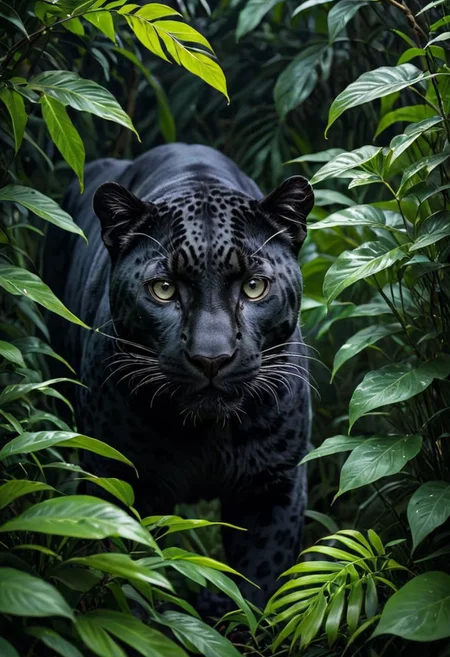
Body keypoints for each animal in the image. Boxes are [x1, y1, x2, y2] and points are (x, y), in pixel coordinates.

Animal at [45, 143, 314, 610]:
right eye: (164, 289)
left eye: (254, 287)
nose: (211, 358)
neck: (205, 435)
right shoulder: (118, 483)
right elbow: (125, 581)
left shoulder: (273, 487)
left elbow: (257, 588)